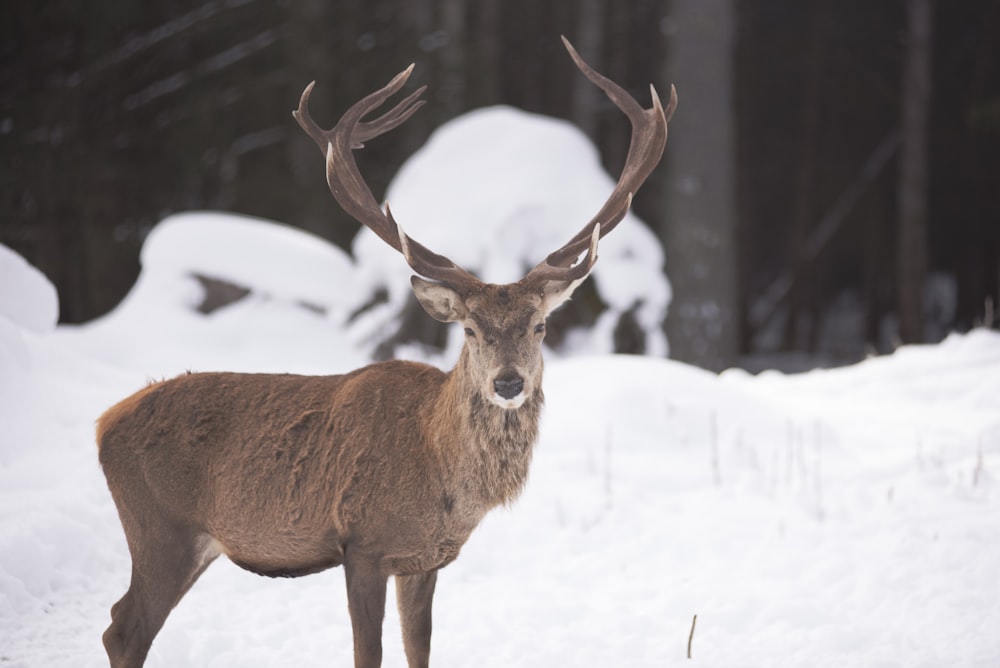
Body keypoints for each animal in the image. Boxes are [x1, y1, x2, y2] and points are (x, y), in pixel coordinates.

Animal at [95, 37, 672, 668]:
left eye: (541, 324)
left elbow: (419, 650)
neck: (440, 475)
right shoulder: (362, 544)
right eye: (470, 330)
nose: (508, 383)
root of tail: (105, 423)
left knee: (119, 621)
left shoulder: (424, 560)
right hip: (161, 527)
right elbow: (366, 654)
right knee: (124, 626)